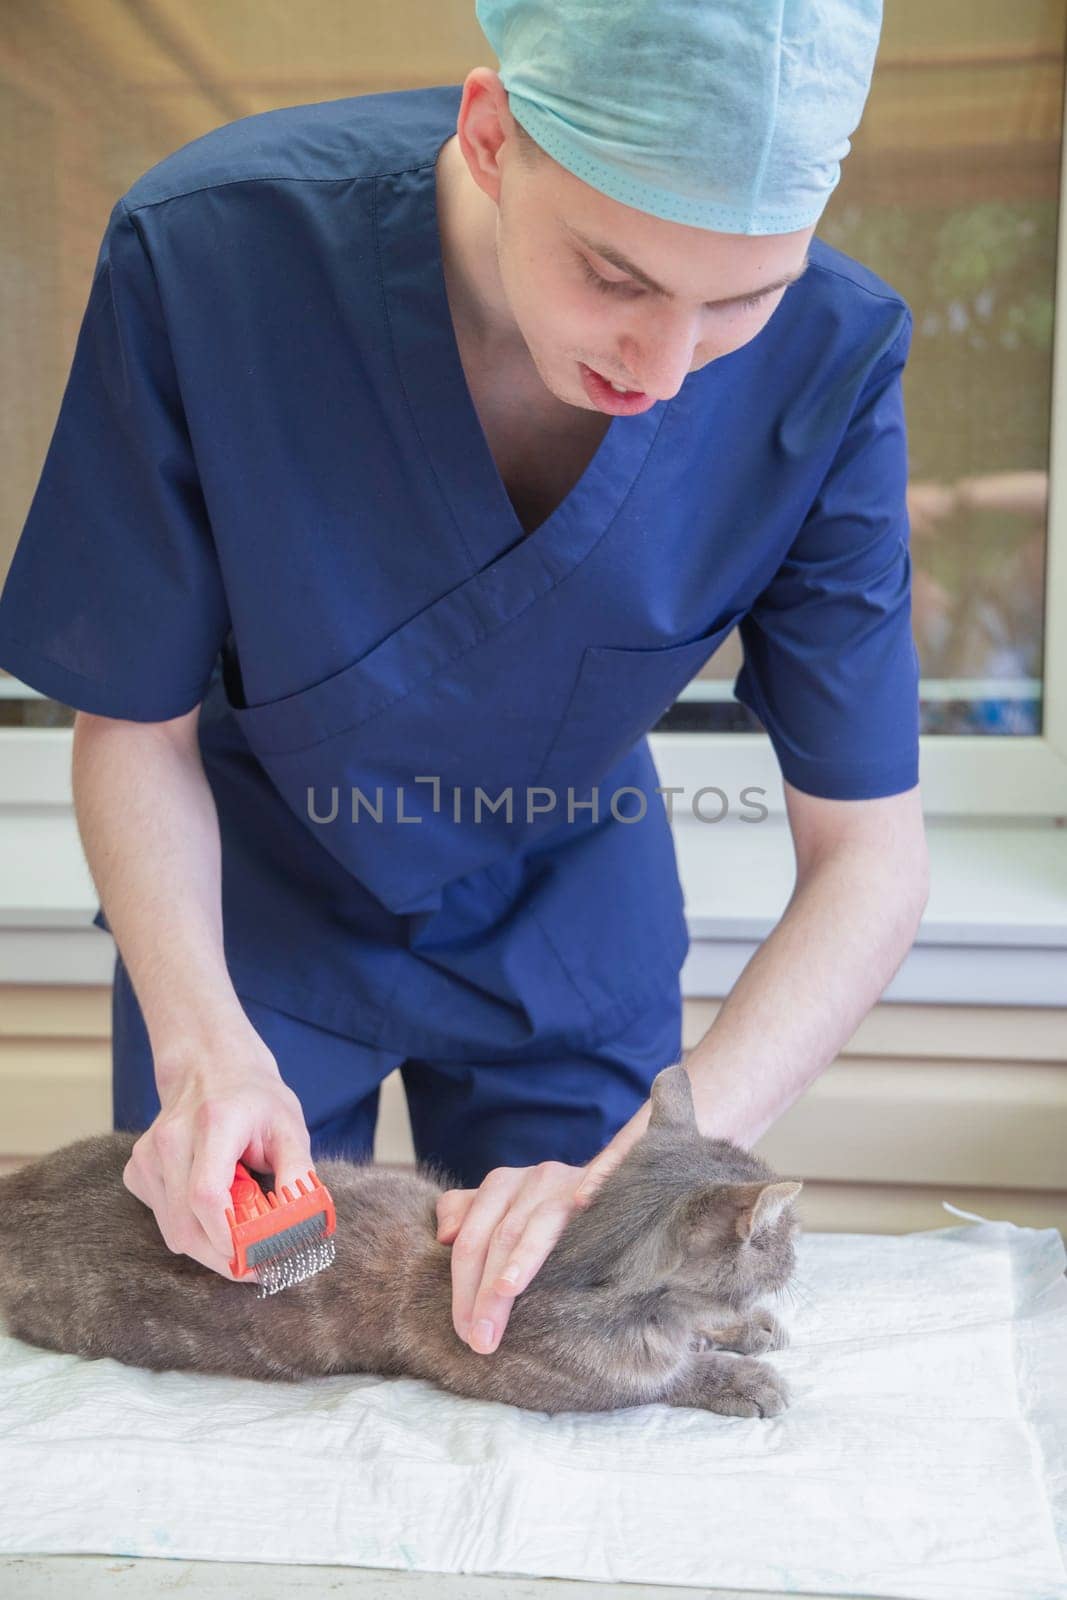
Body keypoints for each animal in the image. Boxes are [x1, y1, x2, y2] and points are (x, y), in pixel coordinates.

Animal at [0, 1068, 799, 1420]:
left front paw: (744, 1328)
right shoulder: (569, 1383)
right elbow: (663, 1379)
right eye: (784, 1234)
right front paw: (736, 1377)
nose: (798, 1252)